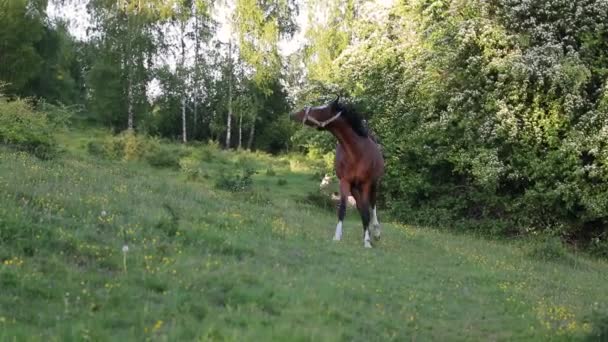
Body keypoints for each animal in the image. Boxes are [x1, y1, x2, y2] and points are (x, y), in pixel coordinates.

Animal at [290, 96, 384, 248]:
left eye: (321, 109)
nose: (294, 113)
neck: (356, 152)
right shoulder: (345, 182)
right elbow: (343, 209)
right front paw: (337, 236)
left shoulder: (366, 183)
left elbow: (368, 210)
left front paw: (367, 242)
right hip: (354, 188)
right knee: (361, 208)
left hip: (373, 185)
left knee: (372, 206)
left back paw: (375, 232)